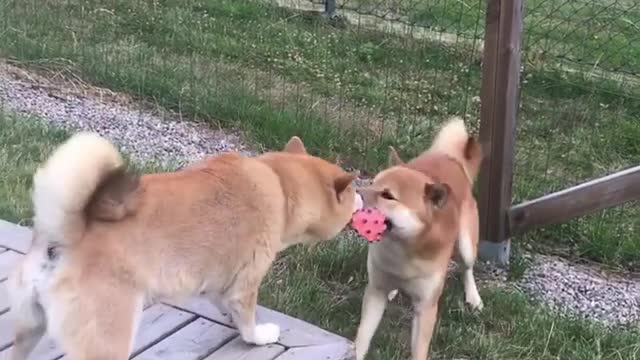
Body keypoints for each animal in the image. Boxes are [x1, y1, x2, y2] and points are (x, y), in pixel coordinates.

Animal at [8, 133, 360, 360]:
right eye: (352, 192)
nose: (361, 199)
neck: (279, 181)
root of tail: (63, 236)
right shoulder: (246, 282)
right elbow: (248, 323)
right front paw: (260, 336)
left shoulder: (220, 281)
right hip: (107, 338)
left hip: (29, 327)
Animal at [352, 118, 482, 360]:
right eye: (372, 182)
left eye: (388, 195)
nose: (353, 192)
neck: (402, 249)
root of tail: (448, 157)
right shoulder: (375, 292)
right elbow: (362, 337)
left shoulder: (426, 308)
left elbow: (419, 350)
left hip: (466, 245)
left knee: (467, 268)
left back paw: (473, 297)